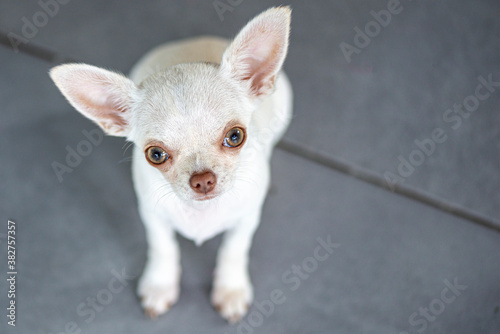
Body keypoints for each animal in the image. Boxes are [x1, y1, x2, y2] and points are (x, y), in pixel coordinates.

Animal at [49, 5, 292, 324]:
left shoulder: (246, 219)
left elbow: (233, 250)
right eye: (155, 154)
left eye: (235, 136)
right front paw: (160, 285)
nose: (203, 179)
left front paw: (231, 290)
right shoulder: (153, 216)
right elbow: (163, 248)